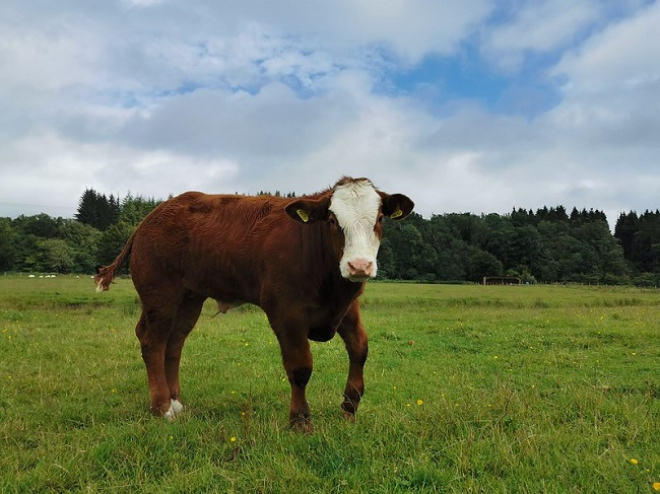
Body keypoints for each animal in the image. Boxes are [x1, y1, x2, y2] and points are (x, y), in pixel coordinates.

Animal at [94, 177, 412, 428]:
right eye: (333, 221)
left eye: (379, 219)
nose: (359, 265)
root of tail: (149, 219)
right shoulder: (284, 308)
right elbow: (300, 366)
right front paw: (300, 421)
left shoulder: (346, 307)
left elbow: (360, 349)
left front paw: (349, 409)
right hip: (160, 294)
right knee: (153, 340)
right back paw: (161, 407)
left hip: (189, 298)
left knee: (174, 343)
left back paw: (176, 403)